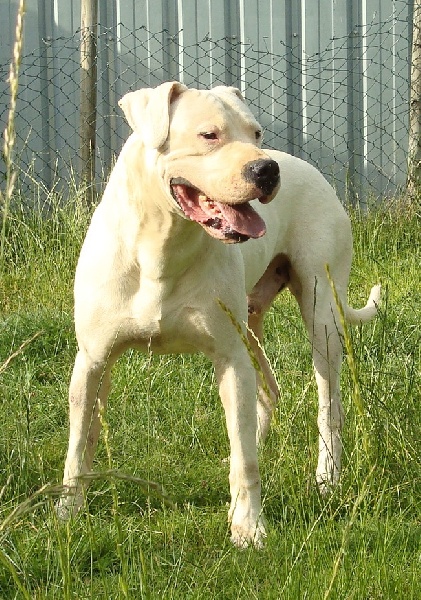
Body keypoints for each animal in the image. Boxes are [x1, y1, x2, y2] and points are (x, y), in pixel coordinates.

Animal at [57, 82, 380, 548]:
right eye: (208, 135)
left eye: (256, 132)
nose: (267, 170)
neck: (162, 244)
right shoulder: (92, 362)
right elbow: (80, 441)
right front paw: (68, 510)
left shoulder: (229, 357)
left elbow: (245, 460)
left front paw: (248, 526)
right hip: (251, 326)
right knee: (265, 393)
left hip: (320, 317)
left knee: (327, 405)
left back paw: (327, 477)